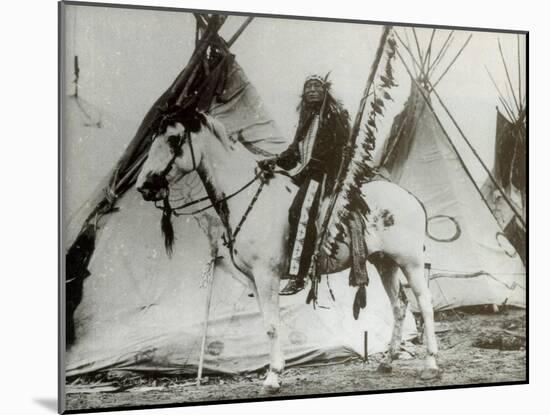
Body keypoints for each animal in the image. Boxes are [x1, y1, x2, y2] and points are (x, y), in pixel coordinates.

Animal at [138, 109, 444, 390]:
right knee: (399, 306)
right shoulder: (254, 280)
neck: (249, 200)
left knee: (425, 304)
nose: (145, 186)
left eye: (174, 139)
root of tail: (411, 198)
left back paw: (430, 365)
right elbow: (268, 324)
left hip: (411, 263)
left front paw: (273, 377)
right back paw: (388, 361)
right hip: (385, 263)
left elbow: (273, 326)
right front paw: (277, 370)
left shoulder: (266, 276)